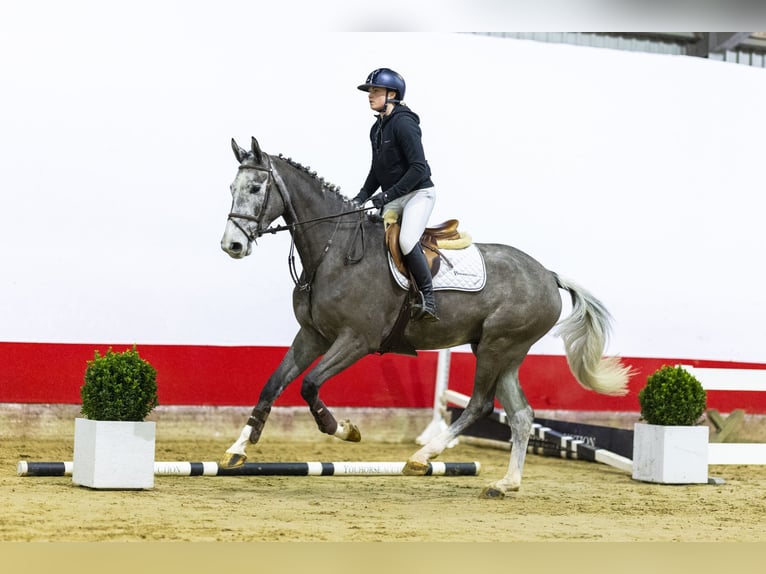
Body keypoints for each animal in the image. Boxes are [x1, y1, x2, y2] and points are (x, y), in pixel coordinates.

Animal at [219, 137, 632, 502]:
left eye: (255, 187)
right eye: (231, 187)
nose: (232, 246)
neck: (331, 252)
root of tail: (548, 274)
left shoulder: (356, 340)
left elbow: (309, 385)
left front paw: (346, 430)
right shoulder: (312, 336)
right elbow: (272, 386)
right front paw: (237, 450)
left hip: (498, 346)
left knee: (480, 405)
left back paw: (421, 458)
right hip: (503, 352)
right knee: (521, 415)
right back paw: (505, 484)